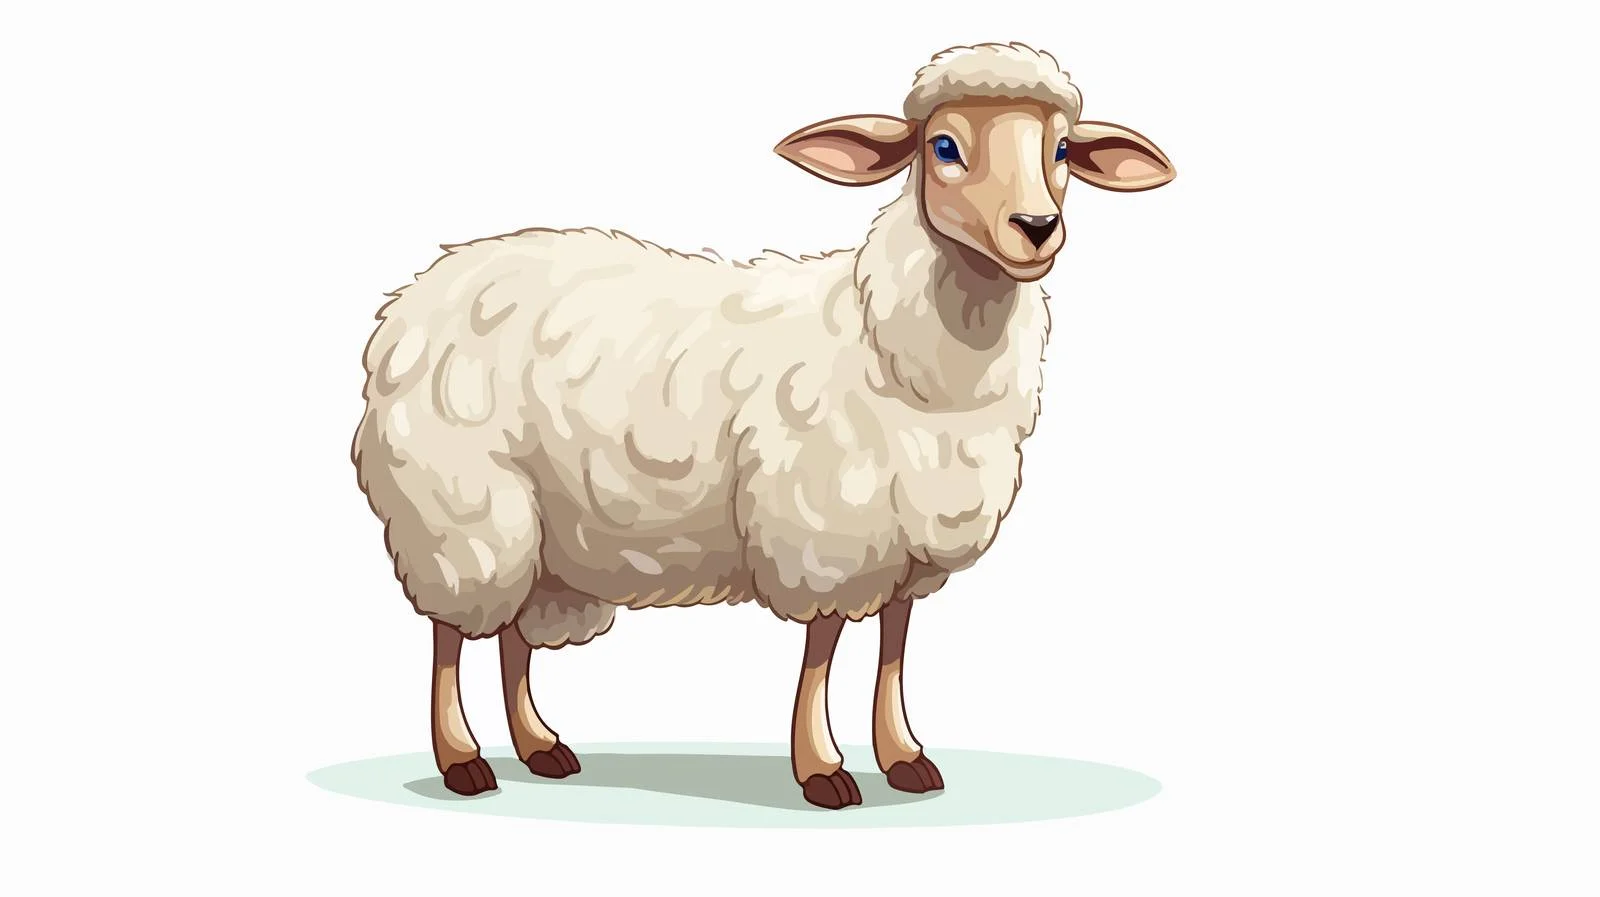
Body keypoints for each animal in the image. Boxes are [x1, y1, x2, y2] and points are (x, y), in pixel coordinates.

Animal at [352, 41, 1174, 808]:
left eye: (1060, 151)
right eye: (944, 148)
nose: (1037, 226)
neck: (893, 344)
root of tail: (416, 298)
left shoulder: (909, 540)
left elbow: (895, 641)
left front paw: (903, 755)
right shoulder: (823, 526)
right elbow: (824, 644)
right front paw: (822, 768)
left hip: (542, 537)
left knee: (512, 637)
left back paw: (539, 746)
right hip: (464, 509)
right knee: (452, 633)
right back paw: (463, 760)